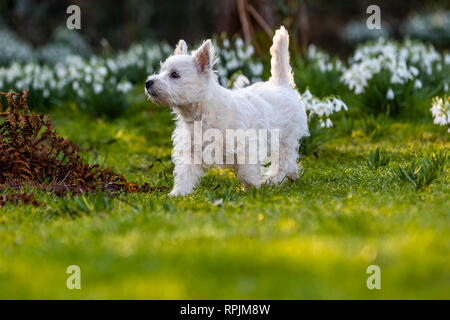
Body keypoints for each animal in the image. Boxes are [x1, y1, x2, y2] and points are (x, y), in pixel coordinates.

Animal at [146, 26, 308, 196]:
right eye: (161, 71)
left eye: (175, 74)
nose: (148, 82)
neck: (200, 113)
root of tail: (280, 83)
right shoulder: (191, 150)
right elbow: (185, 173)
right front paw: (178, 193)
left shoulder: (246, 144)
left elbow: (245, 171)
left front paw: (253, 186)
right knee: (290, 162)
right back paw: (291, 176)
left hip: (285, 139)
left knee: (283, 162)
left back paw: (271, 180)